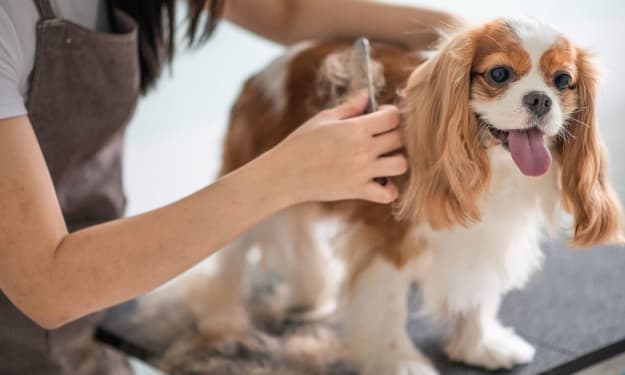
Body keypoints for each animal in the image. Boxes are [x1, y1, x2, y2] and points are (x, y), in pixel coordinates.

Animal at [190, 17, 624, 375]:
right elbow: (388, 305)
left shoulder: (485, 236)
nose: (540, 99)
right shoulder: (388, 240)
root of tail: (260, 75)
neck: (493, 168)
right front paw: (400, 362)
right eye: (499, 73)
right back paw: (222, 323)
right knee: (231, 260)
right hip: (253, 188)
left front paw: (479, 345)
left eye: (563, 81)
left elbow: (478, 291)